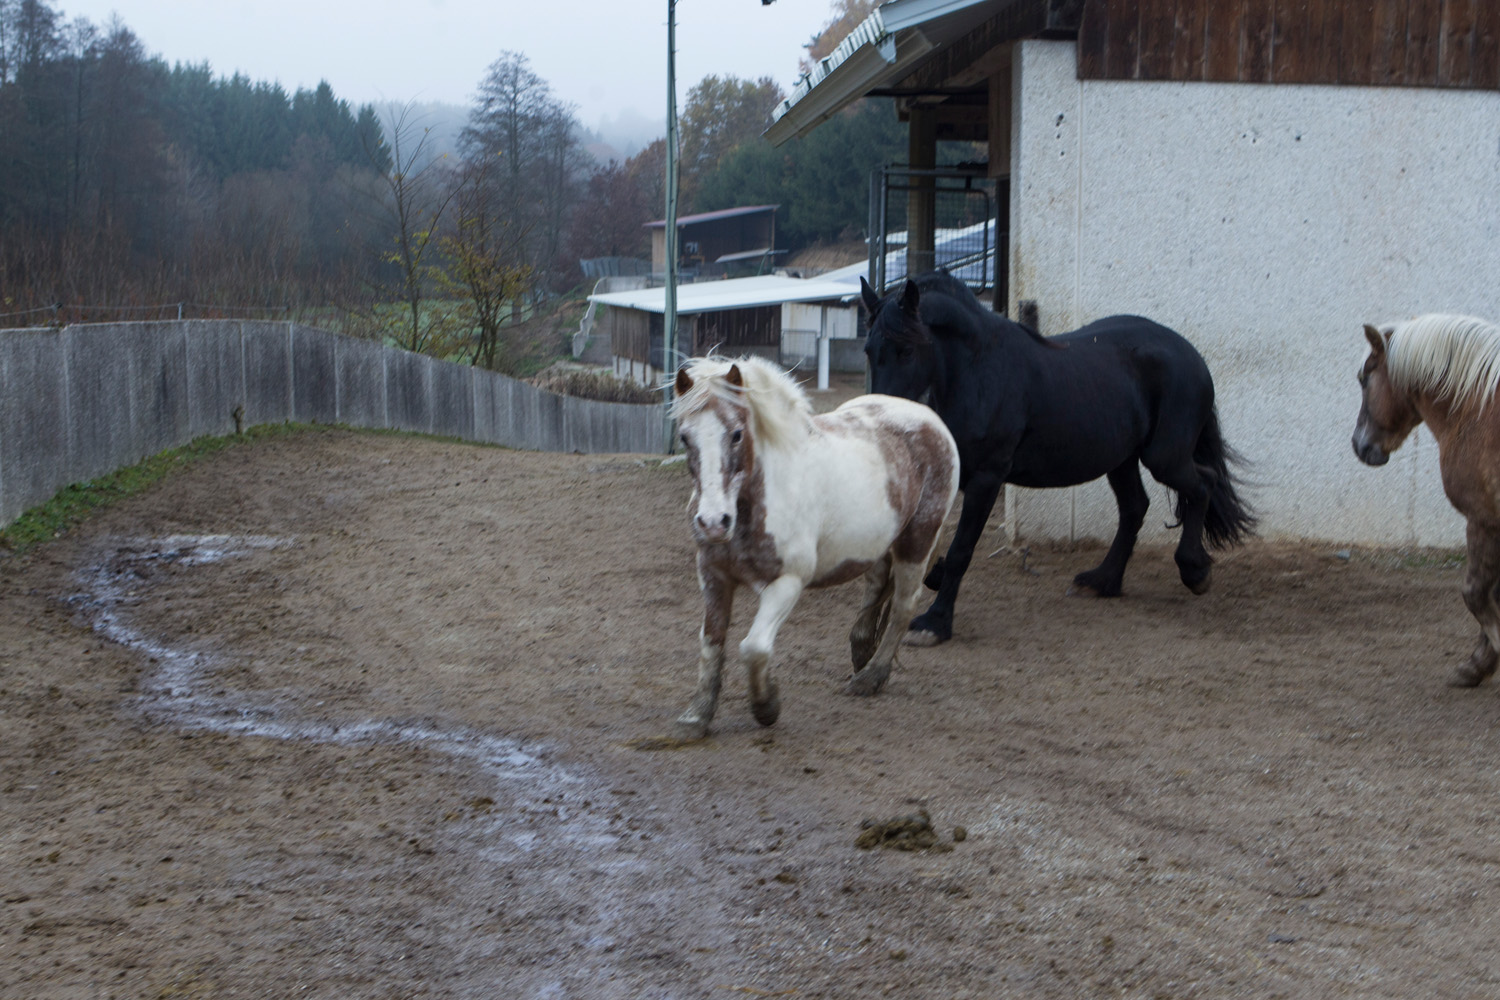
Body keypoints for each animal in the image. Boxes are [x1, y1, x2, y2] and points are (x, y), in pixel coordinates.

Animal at [668, 355, 960, 740]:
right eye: (685, 437)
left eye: (736, 434)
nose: (714, 522)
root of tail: (929, 418)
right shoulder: (713, 575)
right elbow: (711, 641)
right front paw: (697, 716)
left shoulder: (788, 582)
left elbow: (754, 647)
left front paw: (767, 706)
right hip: (877, 544)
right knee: (875, 588)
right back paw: (861, 651)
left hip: (918, 540)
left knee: (903, 606)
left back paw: (871, 677)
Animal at [860, 270, 1256, 645]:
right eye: (868, 350)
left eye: (907, 350)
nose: (880, 416)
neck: (979, 372)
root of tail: (1190, 354)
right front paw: (933, 580)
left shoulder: (987, 477)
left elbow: (961, 549)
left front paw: (934, 624)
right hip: (1121, 459)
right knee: (1135, 507)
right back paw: (1102, 581)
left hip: (1165, 458)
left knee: (1203, 485)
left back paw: (1194, 571)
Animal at [1353, 313, 1500, 688]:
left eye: (1364, 378)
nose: (1360, 445)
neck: (1480, 409)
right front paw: (1476, 665)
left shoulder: (1483, 519)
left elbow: (1476, 594)